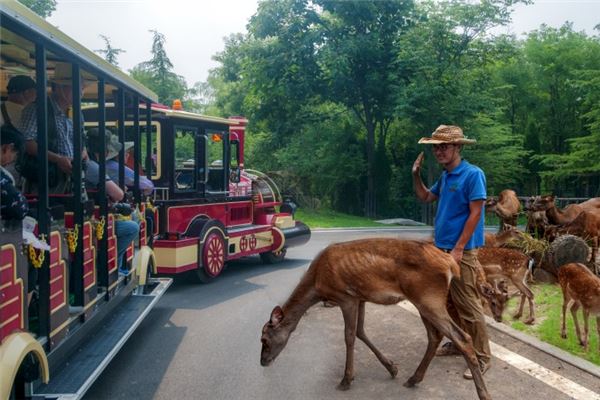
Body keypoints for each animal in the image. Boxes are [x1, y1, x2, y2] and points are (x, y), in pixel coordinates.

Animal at [258, 239, 492, 398]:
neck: (317, 284)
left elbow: (349, 336)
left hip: (429, 298)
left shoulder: (345, 297)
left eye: (265, 339)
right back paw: (413, 378)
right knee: (434, 336)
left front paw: (346, 380)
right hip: (423, 302)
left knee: (461, 338)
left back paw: (483, 393)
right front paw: (392, 368)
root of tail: (451, 264)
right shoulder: (360, 297)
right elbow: (361, 331)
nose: (262, 362)